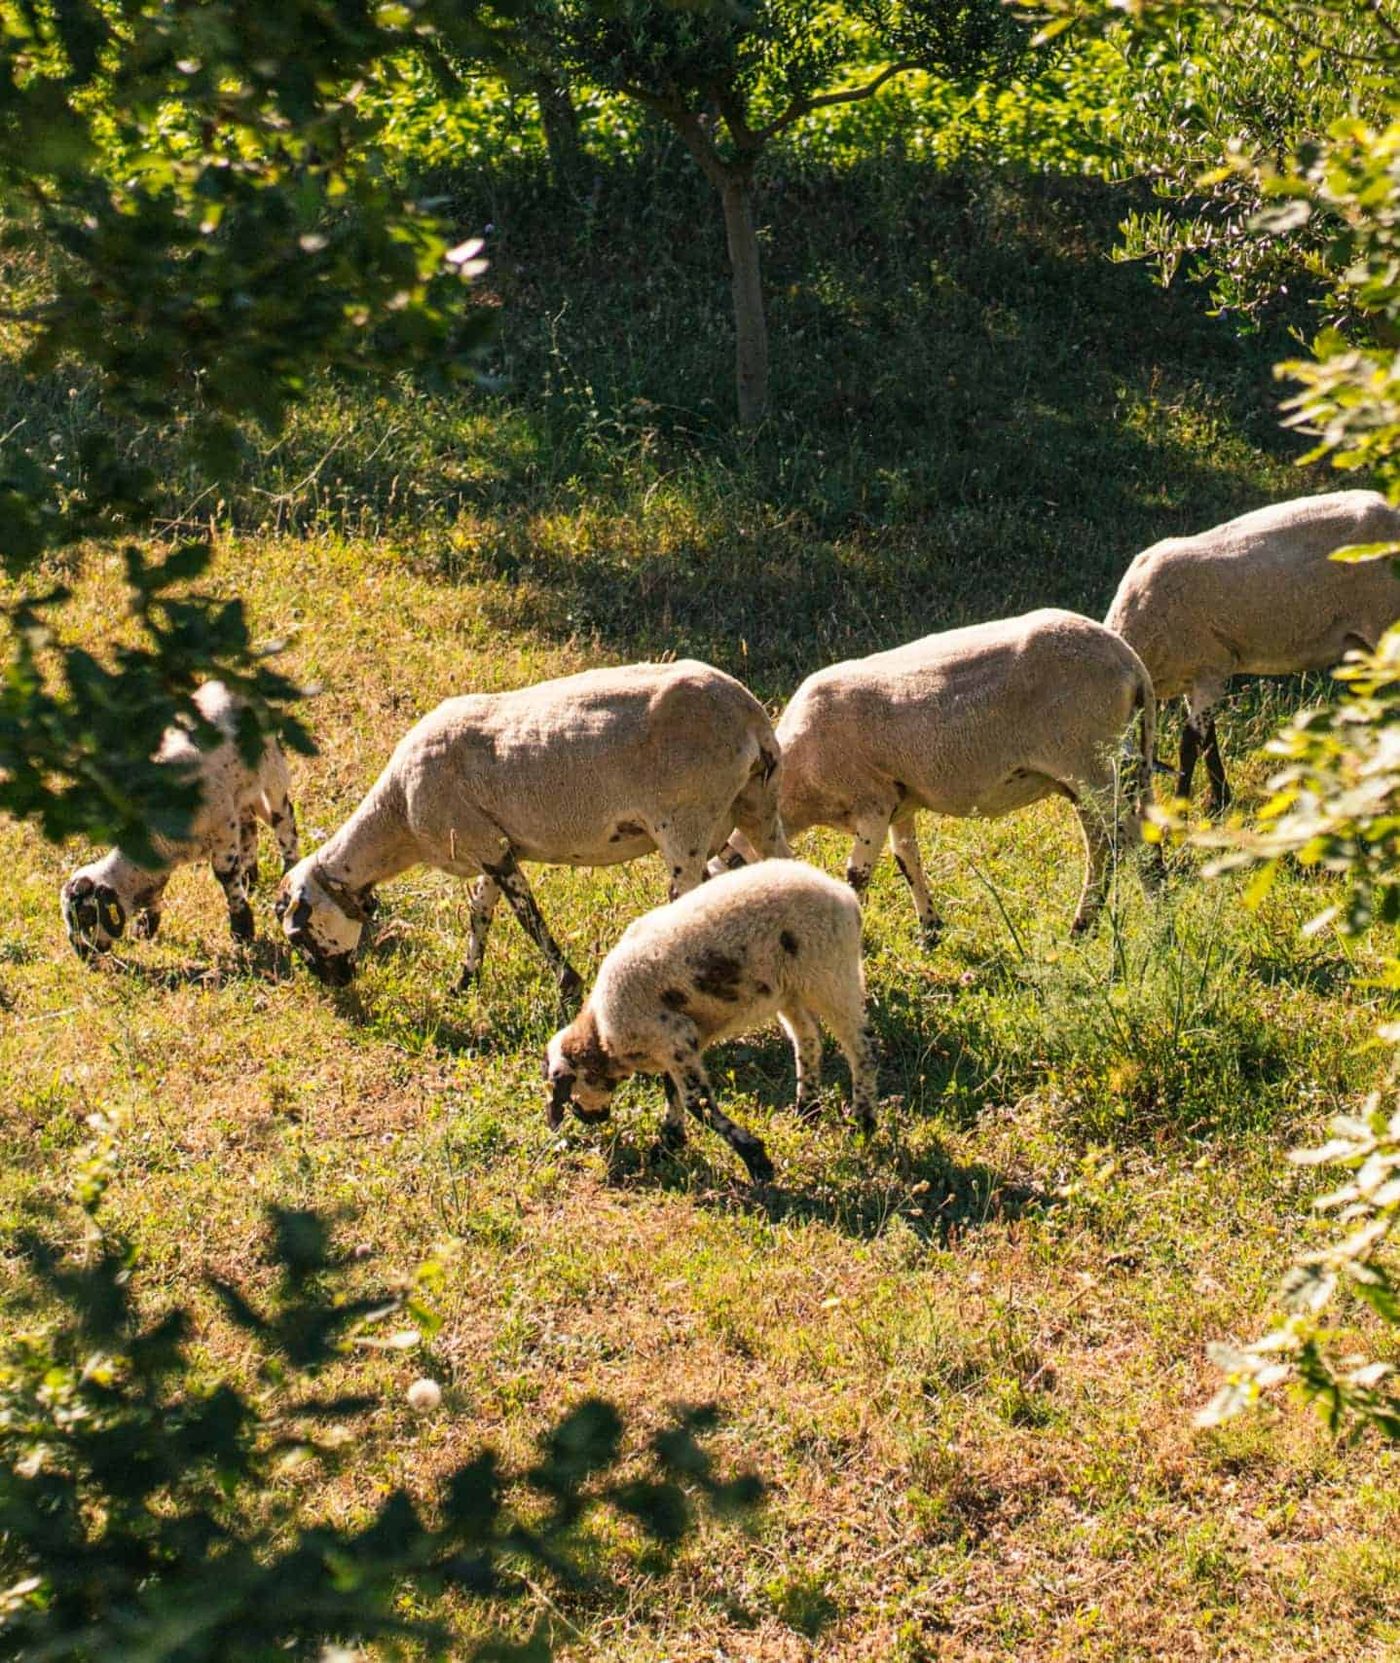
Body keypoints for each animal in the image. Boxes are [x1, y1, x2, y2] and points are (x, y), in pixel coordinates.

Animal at [60, 681, 300, 959]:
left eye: (87, 915)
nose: (81, 953)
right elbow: (156, 888)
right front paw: (146, 927)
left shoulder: (222, 829)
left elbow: (226, 876)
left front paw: (242, 929)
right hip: (240, 791)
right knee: (249, 827)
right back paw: (250, 879)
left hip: (272, 770)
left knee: (283, 819)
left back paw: (289, 867)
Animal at [275, 659, 789, 996]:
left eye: (298, 935)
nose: (334, 985)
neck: (398, 814)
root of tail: (750, 716)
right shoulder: (491, 844)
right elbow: (480, 912)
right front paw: (464, 983)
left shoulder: (484, 845)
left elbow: (528, 917)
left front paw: (568, 984)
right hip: (753, 808)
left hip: (686, 824)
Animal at [544, 859, 878, 1183]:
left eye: (567, 1090)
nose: (589, 1119)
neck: (602, 1035)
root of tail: (845, 897)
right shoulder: (677, 1044)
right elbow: (673, 1089)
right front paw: (669, 1142)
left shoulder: (674, 1036)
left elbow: (697, 1103)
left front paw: (755, 1159)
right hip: (790, 990)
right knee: (808, 1040)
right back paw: (807, 1109)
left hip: (831, 973)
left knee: (861, 1044)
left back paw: (863, 1120)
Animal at [747, 609, 1154, 943]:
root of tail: (1130, 661)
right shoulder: (899, 805)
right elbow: (907, 859)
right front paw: (930, 930)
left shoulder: (871, 802)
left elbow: (857, 875)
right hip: (1096, 772)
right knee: (1111, 843)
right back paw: (1103, 922)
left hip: (1089, 761)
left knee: (1129, 841)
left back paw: (1137, 922)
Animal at [1105, 489, 1400, 814]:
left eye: (1128, 785)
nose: (1111, 826)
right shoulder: (1190, 679)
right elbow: (1209, 739)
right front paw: (1220, 800)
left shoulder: (1212, 669)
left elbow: (1190, 743)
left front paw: (1183, 809)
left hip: (1385, 619)